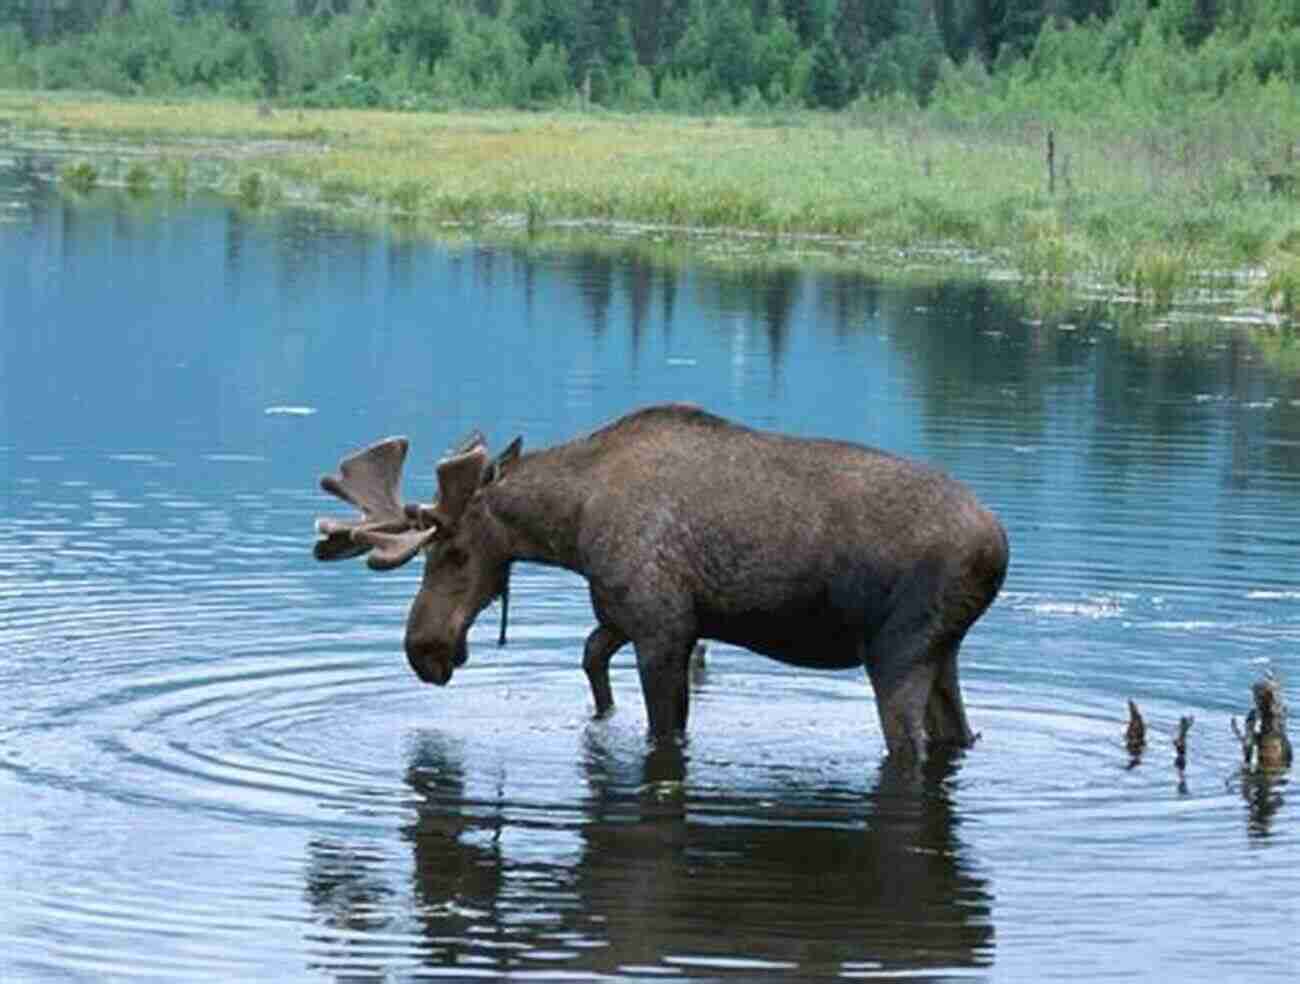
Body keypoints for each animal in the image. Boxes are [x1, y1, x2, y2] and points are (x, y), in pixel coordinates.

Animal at [312, 402, 1003, 753]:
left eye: (453, 551)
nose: (422, 648)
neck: (571, 526)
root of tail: (997, 548)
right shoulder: (624, 614)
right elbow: (591, 660)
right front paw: (600, 716)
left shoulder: (662, 627)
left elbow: (662, 727)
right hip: (943, 651)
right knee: (958, 734)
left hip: (897, 650)